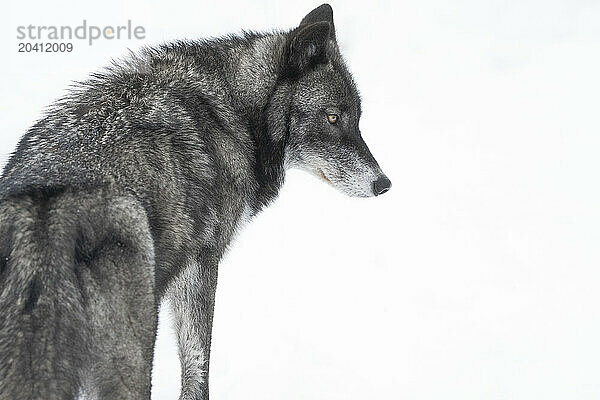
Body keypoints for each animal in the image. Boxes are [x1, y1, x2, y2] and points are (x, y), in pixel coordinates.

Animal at [0, 3, 392, 400]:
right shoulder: (202, 261)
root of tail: (46, 215)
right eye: (333, 117)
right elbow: (198, 362)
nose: (384, 184)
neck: (235, 115)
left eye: (357, 120)